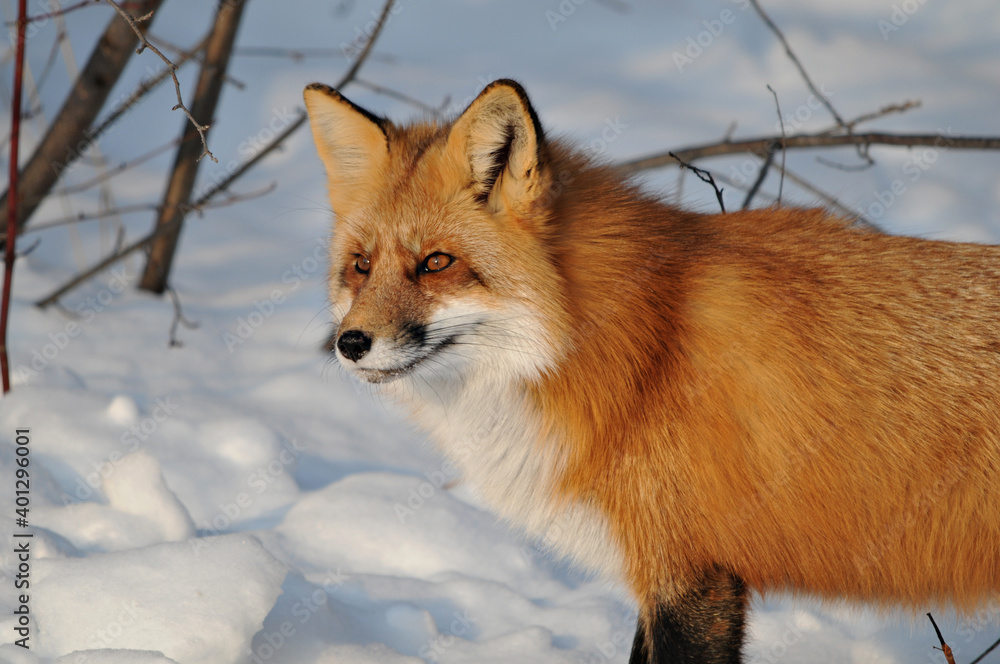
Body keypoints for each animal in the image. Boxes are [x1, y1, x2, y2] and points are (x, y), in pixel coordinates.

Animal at [303, 78, 1000, 663]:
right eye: (362, 265)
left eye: (436, 263)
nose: (350, 343)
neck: (641, 345)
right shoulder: (664, 577)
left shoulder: (690, 576)